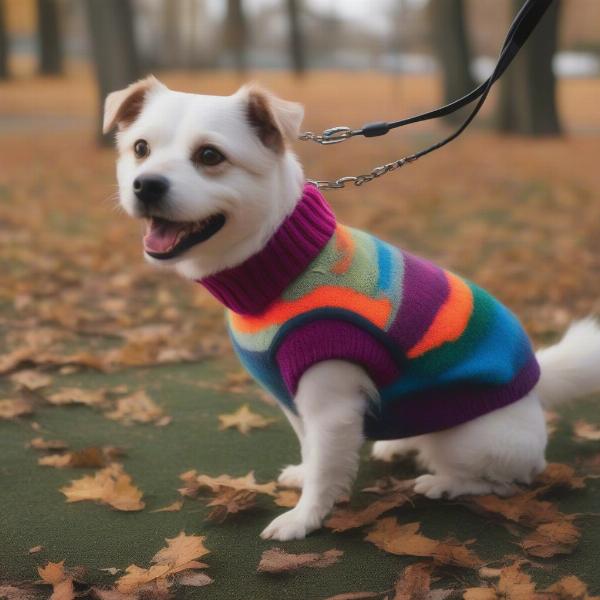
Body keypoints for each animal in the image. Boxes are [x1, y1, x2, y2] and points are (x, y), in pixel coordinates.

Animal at [104, 76, 600, 544]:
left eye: (210, 156)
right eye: (140, 149)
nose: (146, 184)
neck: (282, 264)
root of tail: (536, 383)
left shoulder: (330, 405)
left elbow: (326, 467)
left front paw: (304, 518)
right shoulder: (297, 403)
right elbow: (312, 452)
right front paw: (306, 480)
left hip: (466, 439)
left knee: (506, 480)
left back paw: (446, 482)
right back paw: (398, 446)